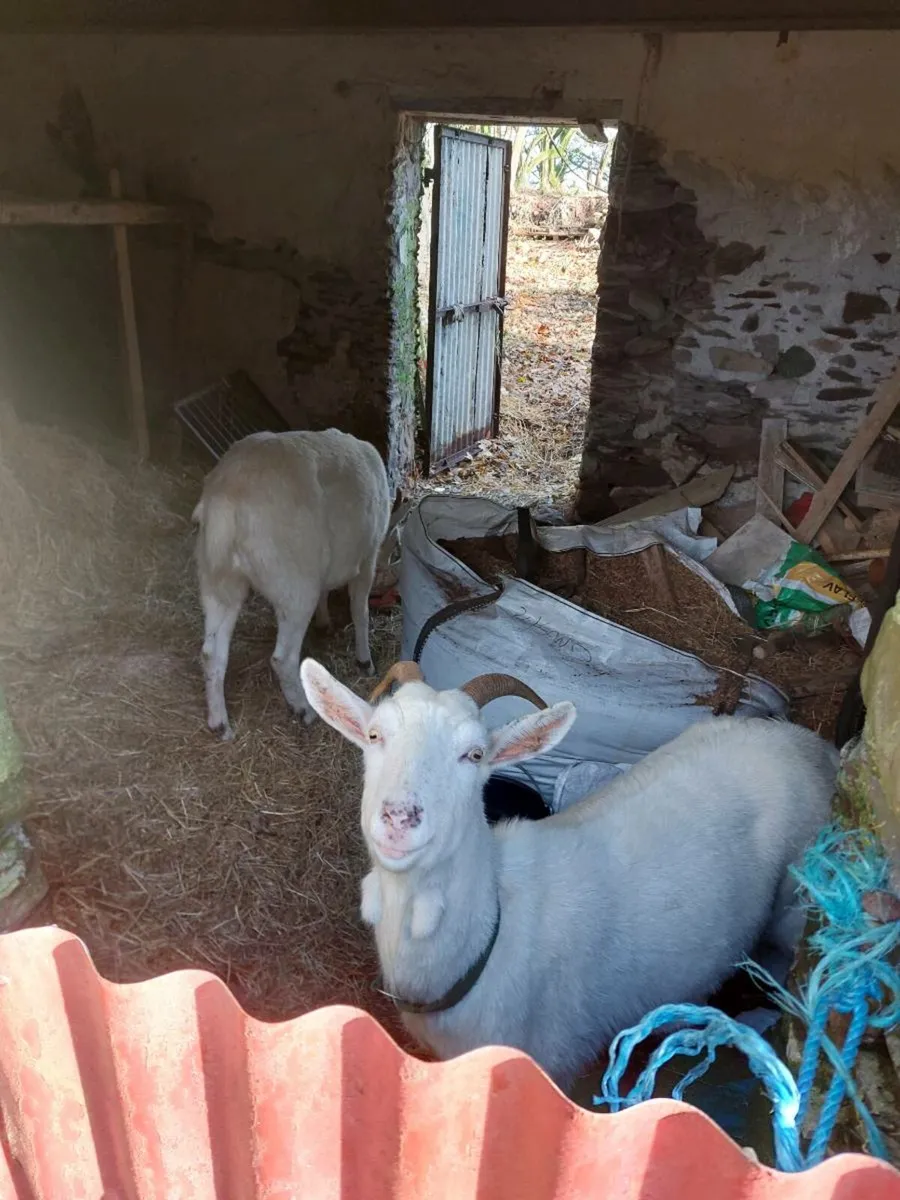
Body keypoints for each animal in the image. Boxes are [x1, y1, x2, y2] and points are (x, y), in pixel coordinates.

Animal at [192, 429, 401, 739]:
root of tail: (225, 506)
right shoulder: (367, 557)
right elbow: (360, 611)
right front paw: (365, 662)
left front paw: (324, 622)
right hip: (294, 584)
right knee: (283, 658)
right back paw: (304, 709)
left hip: (217, 578)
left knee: (211, 653)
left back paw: (220, 724)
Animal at [299, 657, 837, 1089]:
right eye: (375, 736)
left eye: (475, 754)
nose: (399, 818)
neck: (491, 936)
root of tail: (812, 745)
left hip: (794, 909)